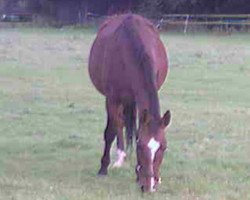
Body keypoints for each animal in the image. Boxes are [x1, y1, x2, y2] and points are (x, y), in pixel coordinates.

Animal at [88, 14, 172, 192]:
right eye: (140, 147)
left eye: (163, 147)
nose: (149, 186)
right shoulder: (112, 99)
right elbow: (110, 132)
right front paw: (103, 168)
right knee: (118, 124)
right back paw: (120, 157)